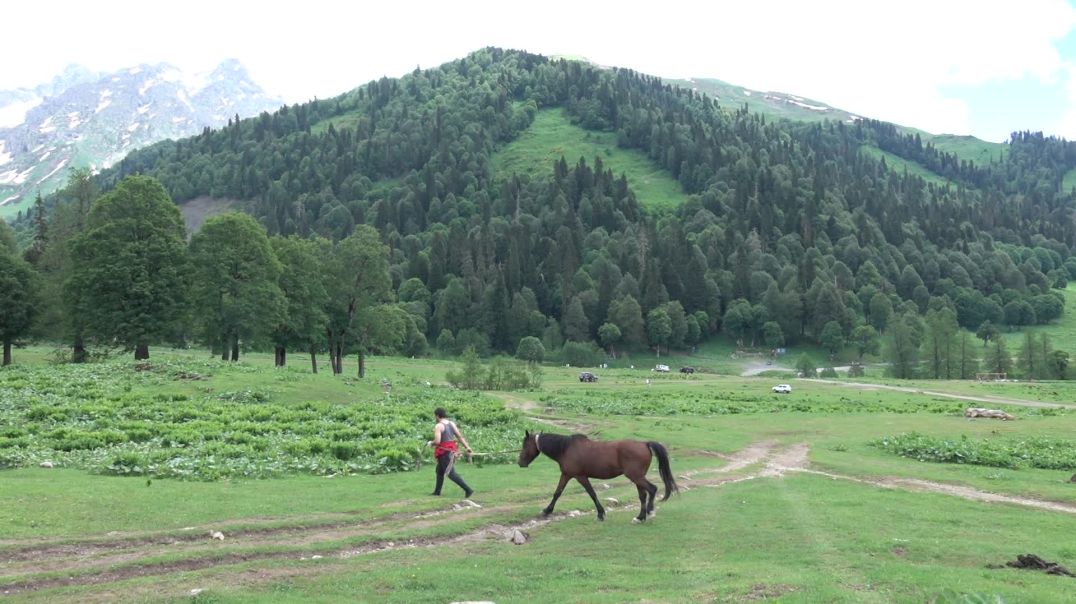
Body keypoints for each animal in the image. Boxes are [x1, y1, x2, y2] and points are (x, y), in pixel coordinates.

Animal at [516, 428, 675, 523]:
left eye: (525, 445)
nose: (520, 462)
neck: (566, 449)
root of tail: (644, 444)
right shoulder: (566, 475)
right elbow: (557, 493)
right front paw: (547, 511)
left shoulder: (580, 477)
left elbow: (592, 493)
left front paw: (600, 514)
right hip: (637, 478)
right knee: (643, 495)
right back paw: (640, 517)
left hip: (636, 477)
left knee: (652, 489)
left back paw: (649, 511)